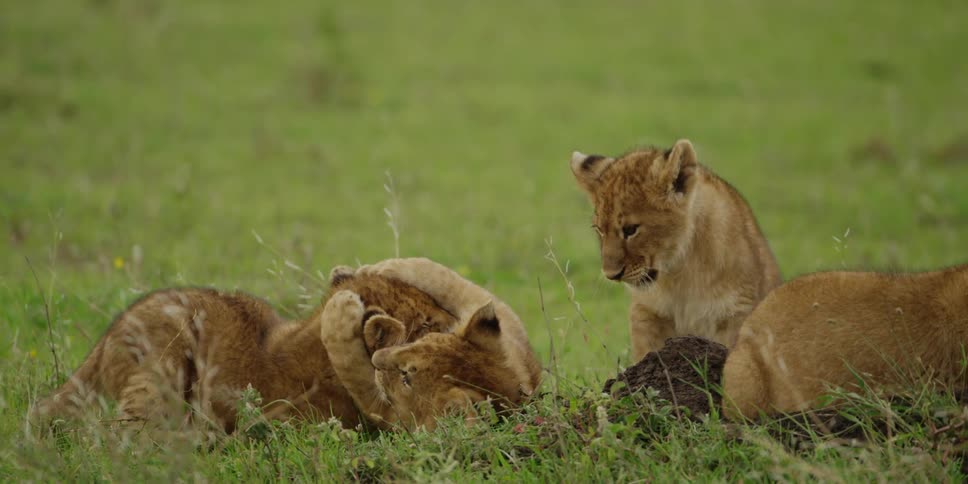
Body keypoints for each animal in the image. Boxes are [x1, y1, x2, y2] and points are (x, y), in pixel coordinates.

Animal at [570, 139, 781, 361]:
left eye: (630, 229)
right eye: (599, 230)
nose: (611, 275)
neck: (679, 272)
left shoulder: (736, 314)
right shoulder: (647, 312)